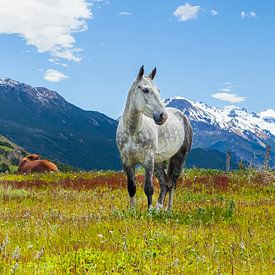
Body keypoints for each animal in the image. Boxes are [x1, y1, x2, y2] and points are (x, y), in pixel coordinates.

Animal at [117, 67, 193, 211]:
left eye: (158, 90)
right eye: (145, 90)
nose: (163, 116)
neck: (133, 131)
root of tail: (183, 117)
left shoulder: (148, 160)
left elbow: (149, 188)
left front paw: (149, 212)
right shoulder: (127, 161)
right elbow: (132, 188)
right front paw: (132, 211)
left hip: (178, 158)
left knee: (172, 184)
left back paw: (168, 210)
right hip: (159, 162)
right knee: (164, 184)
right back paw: (159, 208)